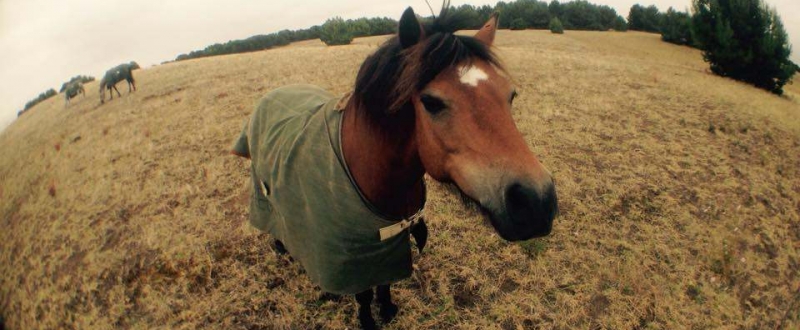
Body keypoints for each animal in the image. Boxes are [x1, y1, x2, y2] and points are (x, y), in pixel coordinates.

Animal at [230, 1, 556, 328]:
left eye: (510, 94)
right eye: (431, 103)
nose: (536, 202)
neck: (367, 173)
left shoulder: (386, 247)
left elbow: (384, 283)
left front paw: (386, 309)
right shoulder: (353, 259)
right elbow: (362, 294)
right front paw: (368, 319)